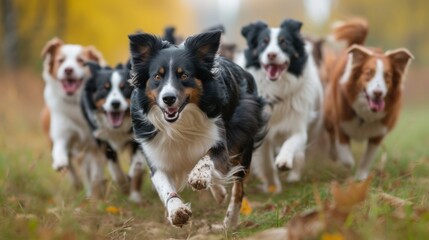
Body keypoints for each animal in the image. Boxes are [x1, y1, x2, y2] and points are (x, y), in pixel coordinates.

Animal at [322, 19, 412, 179]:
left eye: (387, 76)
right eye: (368, 73)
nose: (378, 93)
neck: (365, 115)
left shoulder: (378, 134)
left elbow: (367, 158)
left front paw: (361, 177)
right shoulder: (341, 124)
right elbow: (346, 157)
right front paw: (347, 165)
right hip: (328, 114)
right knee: (330, 134)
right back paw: (333, 154)